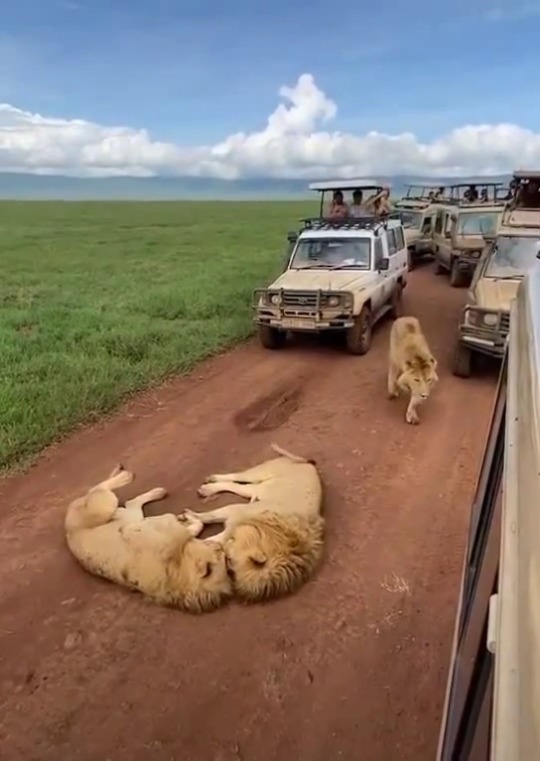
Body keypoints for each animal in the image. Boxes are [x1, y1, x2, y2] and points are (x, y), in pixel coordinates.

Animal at [181, 442, 324, 604]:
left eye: (230, 562)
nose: (225, 558)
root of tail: (308, 463)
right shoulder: (237, 511)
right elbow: (210, 516)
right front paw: (190, 517)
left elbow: (214, 537)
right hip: (258, 475)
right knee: (237, 477)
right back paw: (211, 482)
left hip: (256, 489)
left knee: (236, 486)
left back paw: (209, 488)